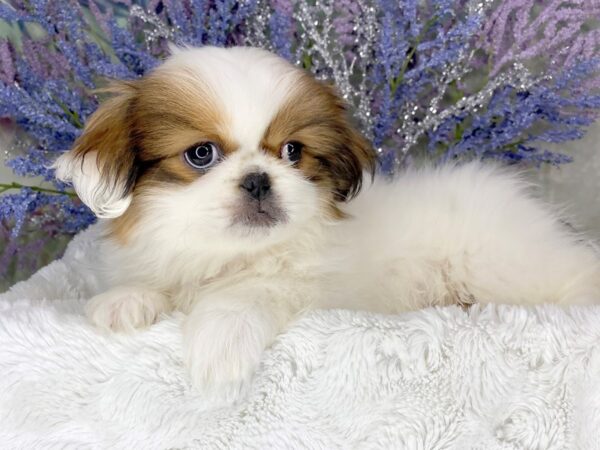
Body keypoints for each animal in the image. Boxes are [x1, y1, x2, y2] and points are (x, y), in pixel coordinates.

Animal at [54, 46, 600, 400]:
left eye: (293, 152)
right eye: (201, 154)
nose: (258, 180)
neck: (232, 252)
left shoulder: (311, 285)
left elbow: (246, 292)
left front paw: (220, 343)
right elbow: (154, 282)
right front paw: (127, 301)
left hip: (504, 265)